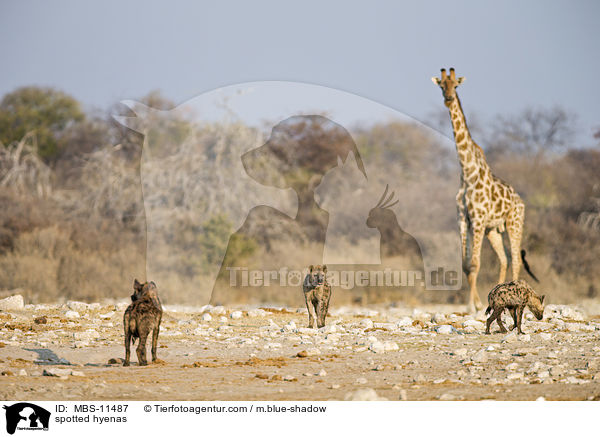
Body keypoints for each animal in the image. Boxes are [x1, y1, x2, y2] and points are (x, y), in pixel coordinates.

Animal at [428, 67, 536, 310]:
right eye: (441, 85)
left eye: (455, 85)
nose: (449, 99)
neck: (467, 173)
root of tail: (521, 201)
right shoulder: (463, 219)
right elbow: (466, 265)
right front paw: (475, 303)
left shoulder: (477, 220)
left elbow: (475, 263)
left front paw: (472, 305)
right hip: (493, 230)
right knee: (504, 259)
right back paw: (500, 293)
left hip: (514, 223)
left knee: (516, 259)